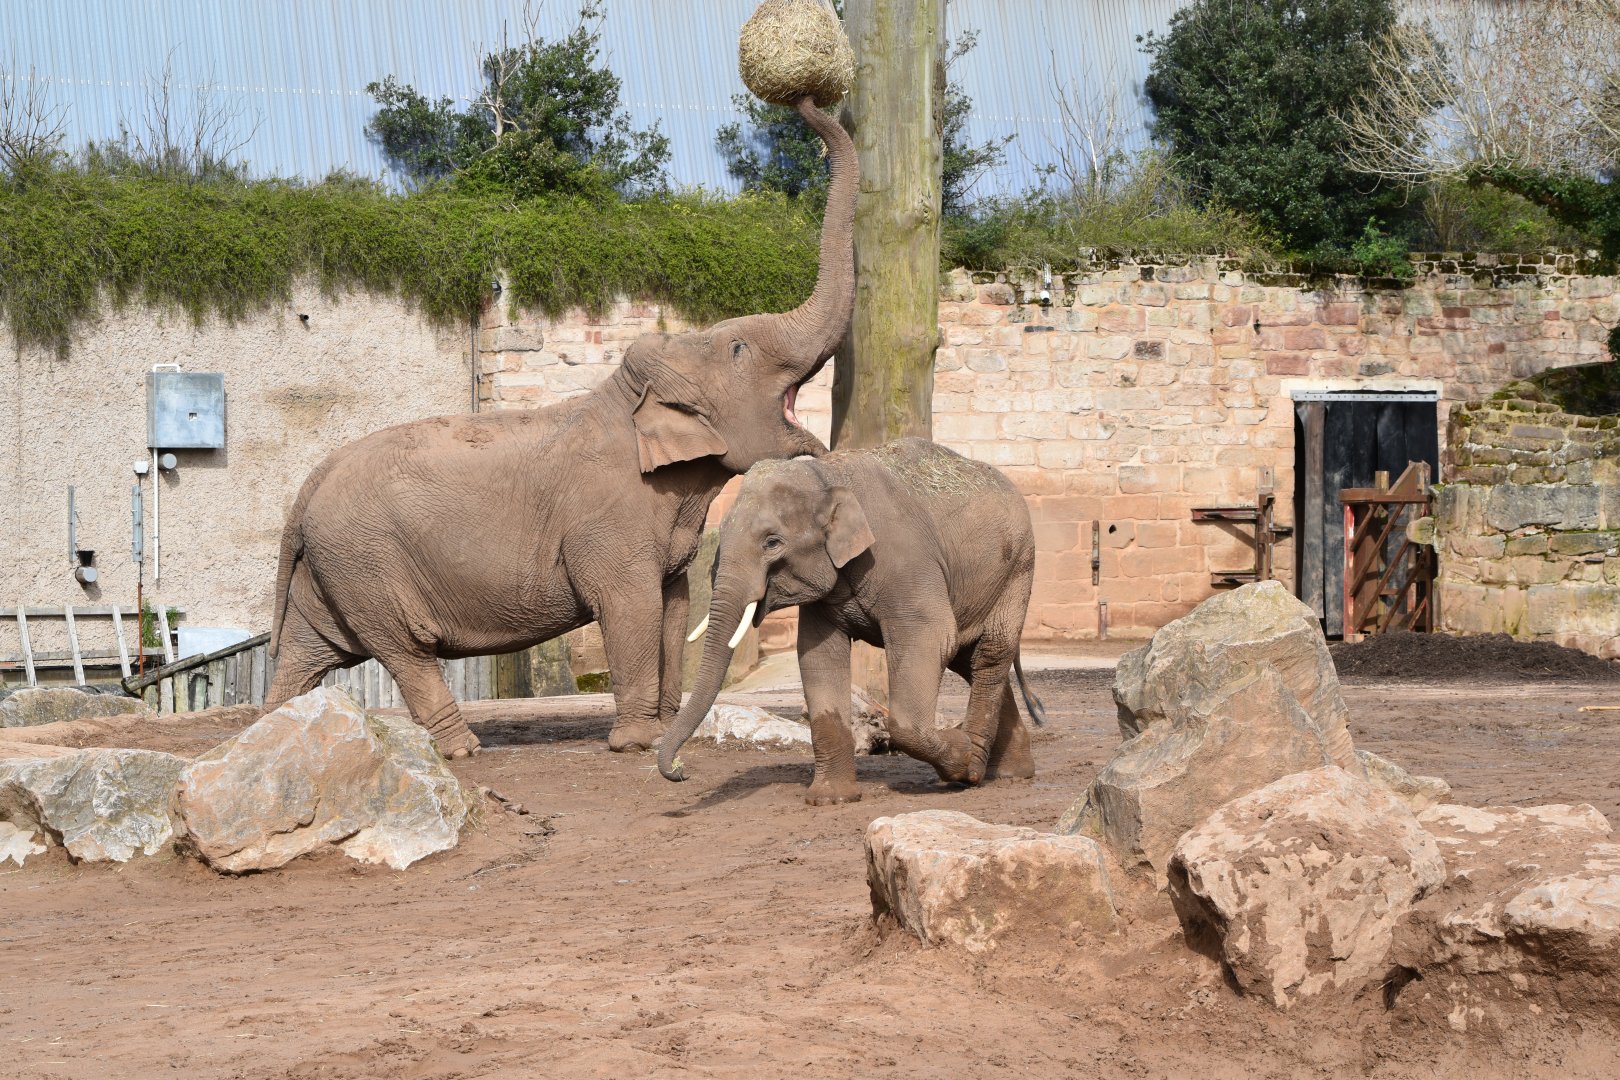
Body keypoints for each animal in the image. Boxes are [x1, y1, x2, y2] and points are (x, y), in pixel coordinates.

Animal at [264, 96, 854, 759]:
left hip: (333, 571)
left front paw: (660, 732)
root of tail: (310, 484)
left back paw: (273, 731)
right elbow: (631, 607)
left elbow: (673, 606)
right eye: (738, 350)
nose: (809, 102)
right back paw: (462, 750)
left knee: (306, 652)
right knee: (403, 649)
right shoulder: (608, 520)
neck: (630, 396)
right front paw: (635, 744)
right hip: (364, 563)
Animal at [658, 438, 1047, 804]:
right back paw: (1011, 772)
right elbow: (818, 656)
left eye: (772, 542)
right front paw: (829, 799)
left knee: (989, 652)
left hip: (1018, 567)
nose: (679, 771)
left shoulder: (905, 561)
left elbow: (932, 636)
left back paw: (975, 769)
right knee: (968, 658)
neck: (826, 475)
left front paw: (962, 755)